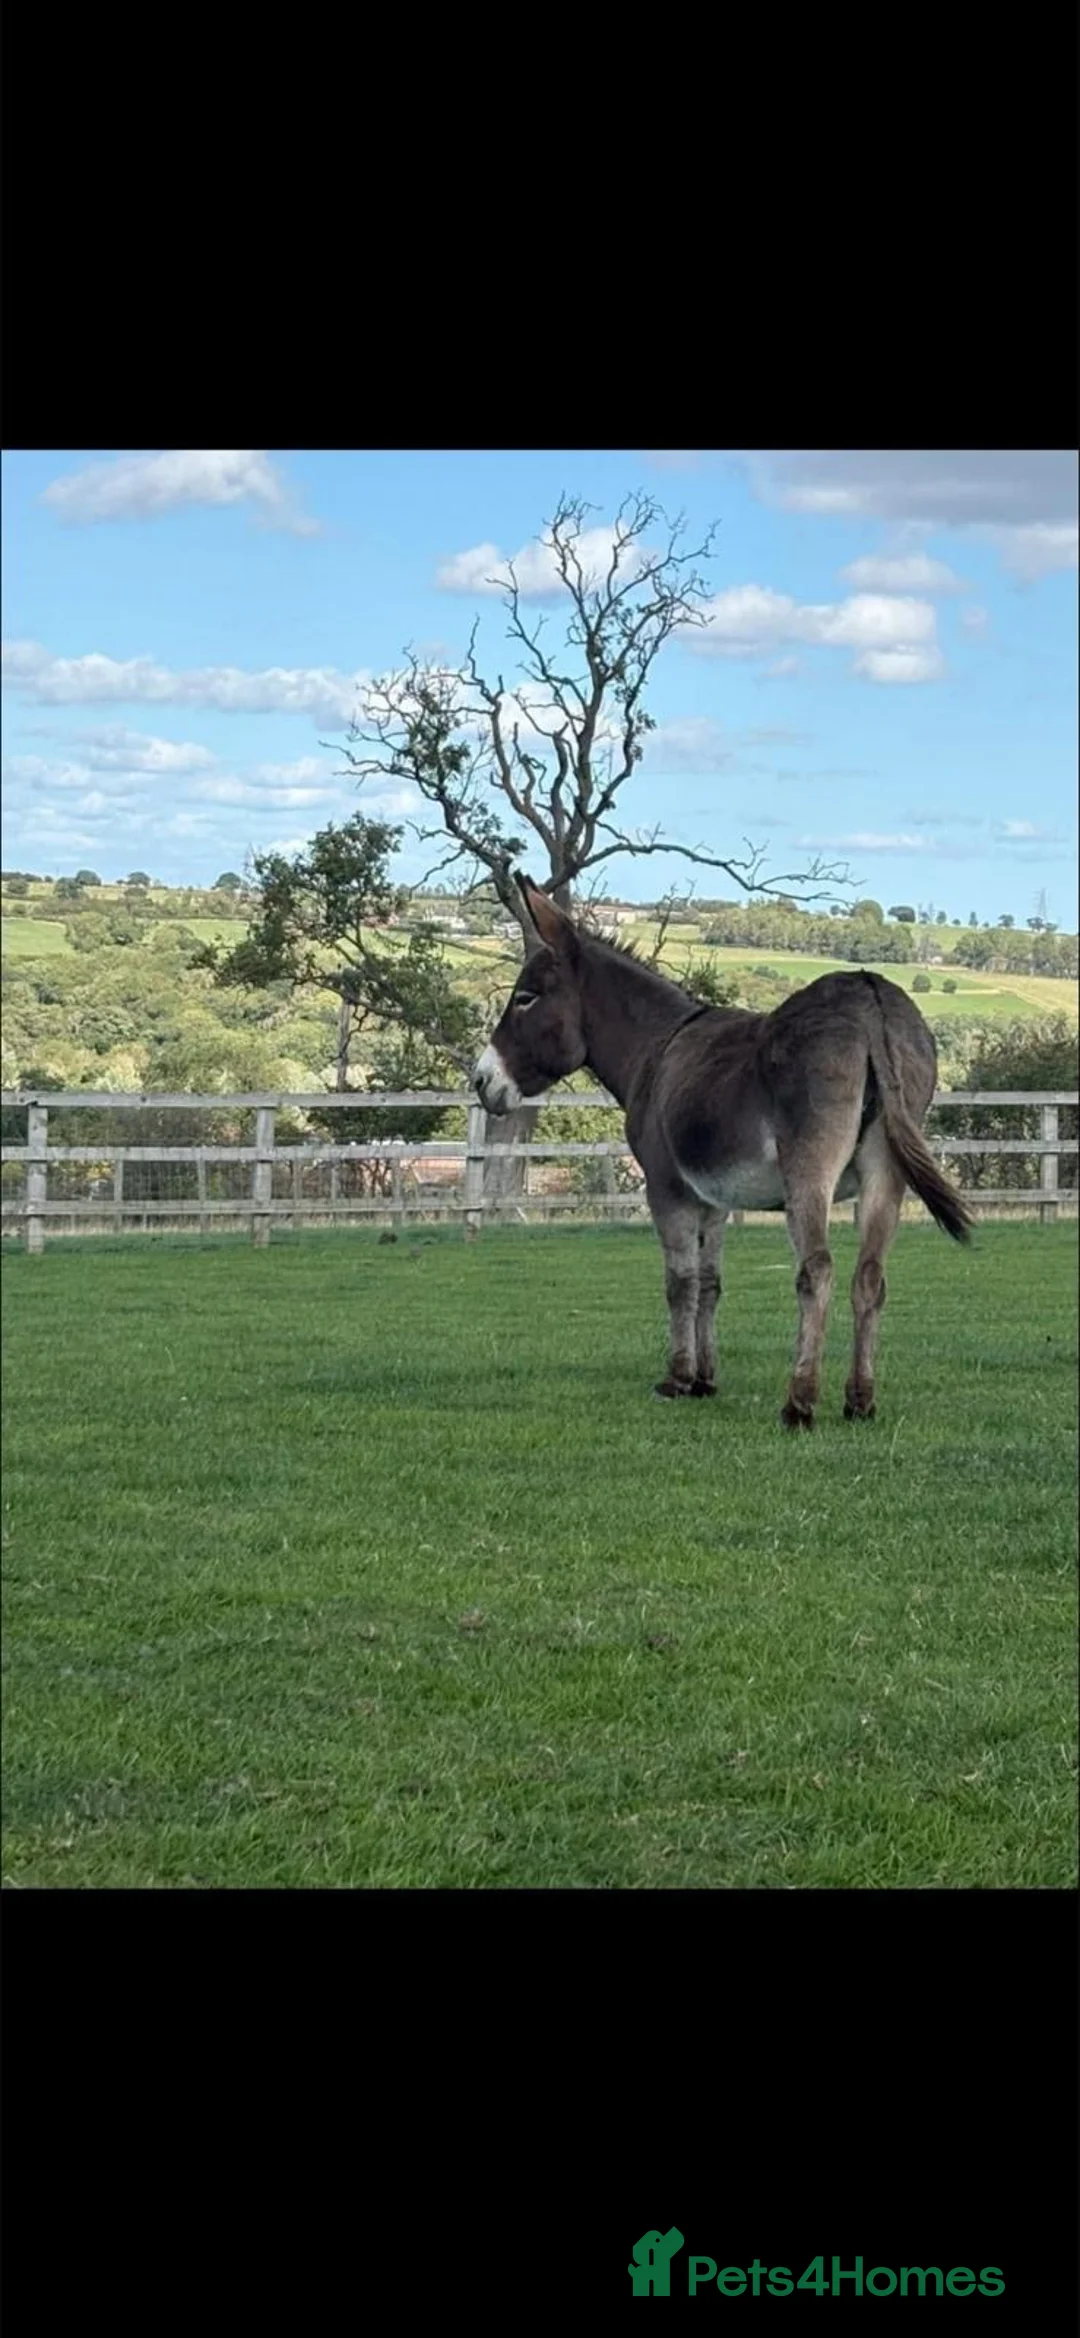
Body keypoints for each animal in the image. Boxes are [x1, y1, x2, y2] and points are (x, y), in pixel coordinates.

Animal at [472, 874, 972, 1429]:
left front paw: (677, 1378)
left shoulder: (666, 1188)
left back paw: (799, 1402)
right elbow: (711, 1282)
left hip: (809, 1169)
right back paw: (859, 1401)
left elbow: (680, 1282)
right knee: (869, 1276)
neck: (656, 1047)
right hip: (886, 1172)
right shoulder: (713, 1198)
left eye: (525, 998)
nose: (480, 1082)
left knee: (816, 1271)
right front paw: (705, 1379)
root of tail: (870, 994)